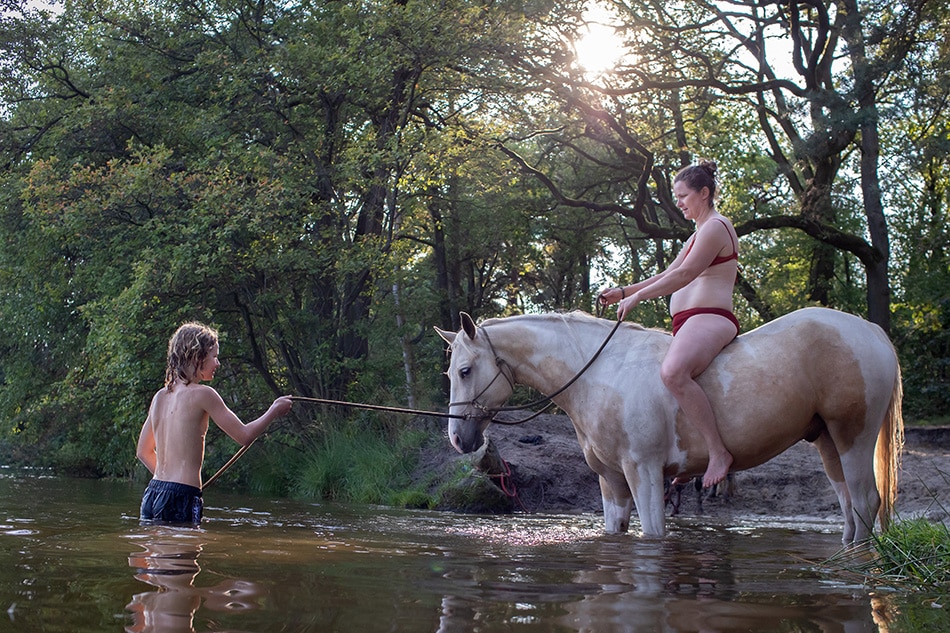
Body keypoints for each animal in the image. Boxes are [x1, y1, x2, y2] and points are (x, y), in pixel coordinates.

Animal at [435, 308, 904, 543]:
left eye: (464, 371)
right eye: (451, 373)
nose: (458, 439)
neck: (600, 373)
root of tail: (870, 330)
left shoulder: (644, 473)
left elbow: (653, 535)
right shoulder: (611, 481)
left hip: (852, 437)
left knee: (865, 504)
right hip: (826, 441)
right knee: (848, 509)